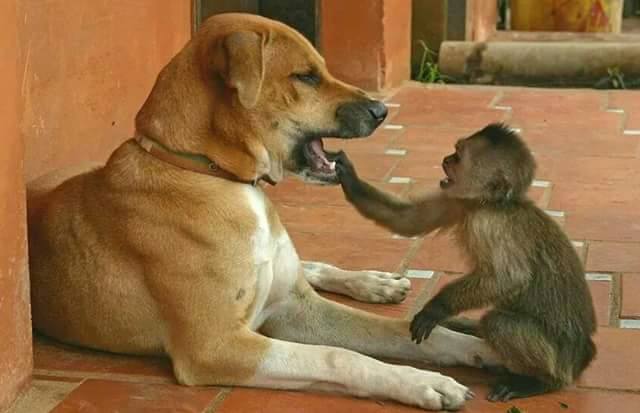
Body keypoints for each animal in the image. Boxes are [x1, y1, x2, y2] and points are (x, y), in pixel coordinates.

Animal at [332, 123, 597, 402]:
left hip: (560, 357)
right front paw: (348, 176)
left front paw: (436, 308)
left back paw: (540, 382)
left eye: (458, 157)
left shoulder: (488, 223)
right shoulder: (457, 199)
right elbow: (407, 219)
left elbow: (508, 278)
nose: (445, 159)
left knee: (498, 323)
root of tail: (582, 356)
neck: (489, 204)